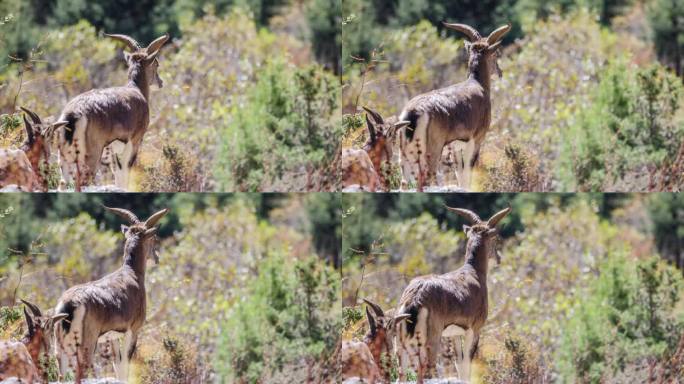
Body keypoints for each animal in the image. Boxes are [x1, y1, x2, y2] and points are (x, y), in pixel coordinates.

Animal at [53, 206, 168, 382]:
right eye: (154, 237)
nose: (157, 258)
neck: (131, 274)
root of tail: (68, 305)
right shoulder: (133, 330)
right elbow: (125, 365)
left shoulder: (112, 337)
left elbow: (117, 366)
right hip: (86, 346)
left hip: (60, 349)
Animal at [56, 32, 171, 191]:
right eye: (156, 63)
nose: (160, 82)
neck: (136, 89)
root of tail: (73, 114)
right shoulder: (134, 141)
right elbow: (126, 171)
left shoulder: (114, 147)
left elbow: (118, 173)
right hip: (92, 153)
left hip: (64, 156)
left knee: (63, 182)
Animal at [392, 206, 510, 382]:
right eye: (496, 239)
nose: (499, 258)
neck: (473, 273)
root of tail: (414, 300)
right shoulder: (474, 330)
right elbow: (467, 365)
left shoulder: (454, 335)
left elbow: (459, 365)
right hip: (431, 343)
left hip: (401, 347)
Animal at [396, 21, 508, 190]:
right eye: (496, 54)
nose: (500, 72)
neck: (477, 84)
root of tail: (413, 113)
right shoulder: (476, 140)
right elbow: (468, 172)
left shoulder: (456, 147)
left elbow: (459, 174)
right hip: (432, 150)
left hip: (405, 153)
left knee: (404, 180)